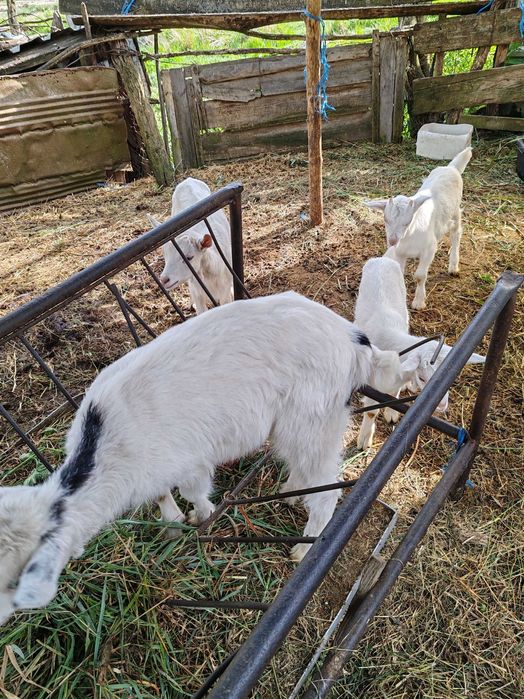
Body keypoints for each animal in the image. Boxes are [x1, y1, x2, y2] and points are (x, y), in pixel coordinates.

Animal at [0, 291, 375, 625]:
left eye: (14, 581)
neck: (104, 445)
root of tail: (350, 336)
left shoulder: (191, 460)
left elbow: (193, 491)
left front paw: (200, 516)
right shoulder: (153, 470)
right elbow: (161, 493)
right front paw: (171, 522)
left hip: (312, 416)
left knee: (325, 486)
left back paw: (303, 547)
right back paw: (290, 491)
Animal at [148, 177, 233, 314]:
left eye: (189, 257)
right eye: (165, 256)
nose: (164, 280)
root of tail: (188, 180)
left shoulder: (224, 290)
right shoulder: (197, 291)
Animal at [354, 257, 485, 449]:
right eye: (423, 378)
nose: (442, 405)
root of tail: (383, 259)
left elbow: (393, 394)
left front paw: (391, 413)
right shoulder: (373, 385)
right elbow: (371, 411)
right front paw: (364, 439)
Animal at [365, 148, 472, 309]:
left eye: (407, 222)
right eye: (385, 219)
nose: (392, 241)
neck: (409, 236)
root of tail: (451, 168)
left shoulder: (429, 249)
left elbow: (420, 276)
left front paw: (418, 302)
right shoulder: (400, 253)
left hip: (455, 211)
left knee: (456, 233)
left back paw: (453, 266)